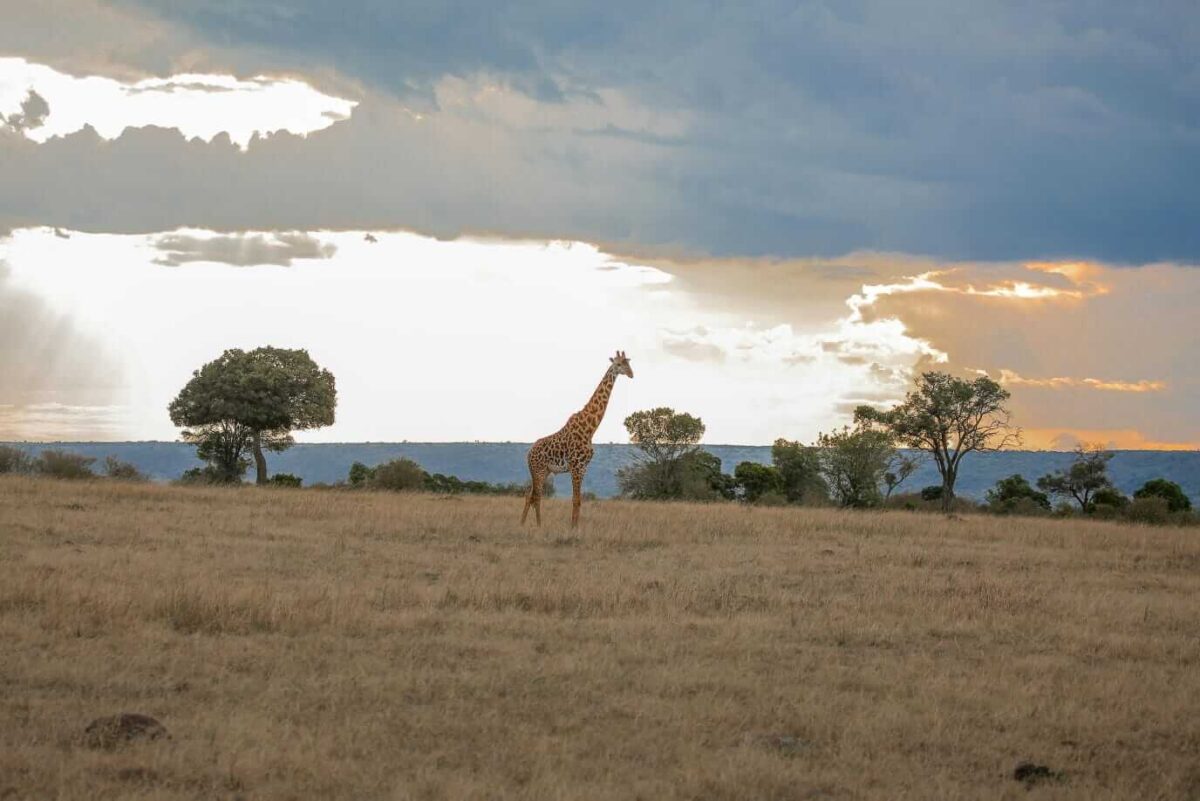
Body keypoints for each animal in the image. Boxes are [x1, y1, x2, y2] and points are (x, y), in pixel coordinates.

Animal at [521, 351, 633, 528]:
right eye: (618, 364)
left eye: (628, 363)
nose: (631, 374)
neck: (590, 429)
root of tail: (529, 453)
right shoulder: (576, 467)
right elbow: (575, 500)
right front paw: (573, 528)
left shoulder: (583, 468)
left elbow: (579, 500)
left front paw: (575, 526)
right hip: (538, 471)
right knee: (536, 497)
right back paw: (538, 526)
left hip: (544, 471)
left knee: (530, 495)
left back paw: (524, 524)